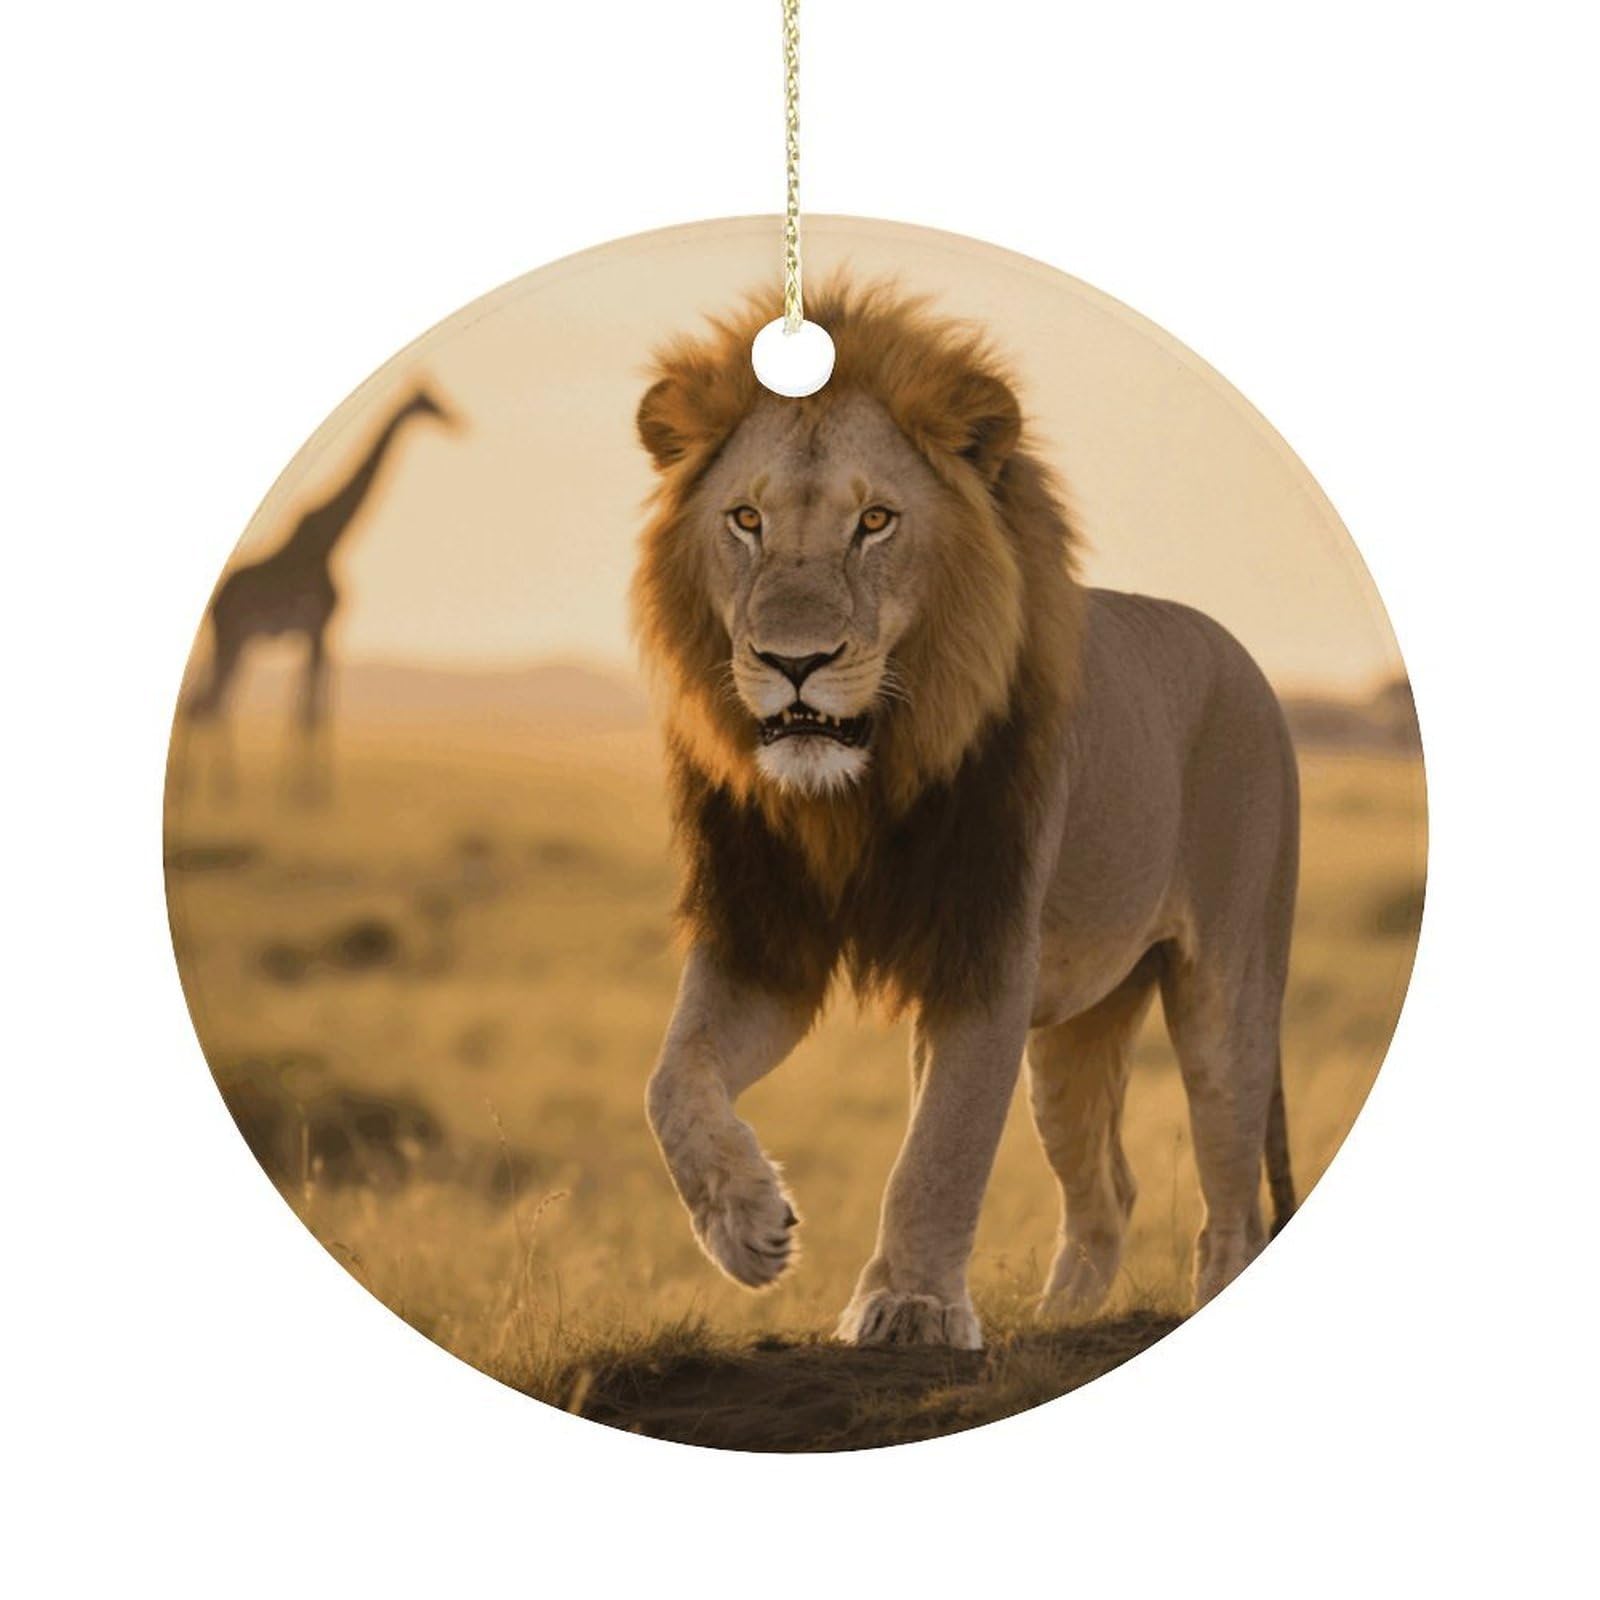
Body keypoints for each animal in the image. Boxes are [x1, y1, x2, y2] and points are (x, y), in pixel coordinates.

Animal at [632, 279, 1299, 1349]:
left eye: (875, 520)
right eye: (744, 519)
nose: (793, 662)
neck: (857, 791)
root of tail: (1241, 654)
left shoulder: (986, 947)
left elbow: (940, 1147)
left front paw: (910, 1305)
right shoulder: (764, 940)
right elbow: (671, 1081)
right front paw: (746, 1226)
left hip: (1227, 994)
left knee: (1231, 1202)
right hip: (1077, 1034)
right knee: (1107, 1190)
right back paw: (1058, 1320)